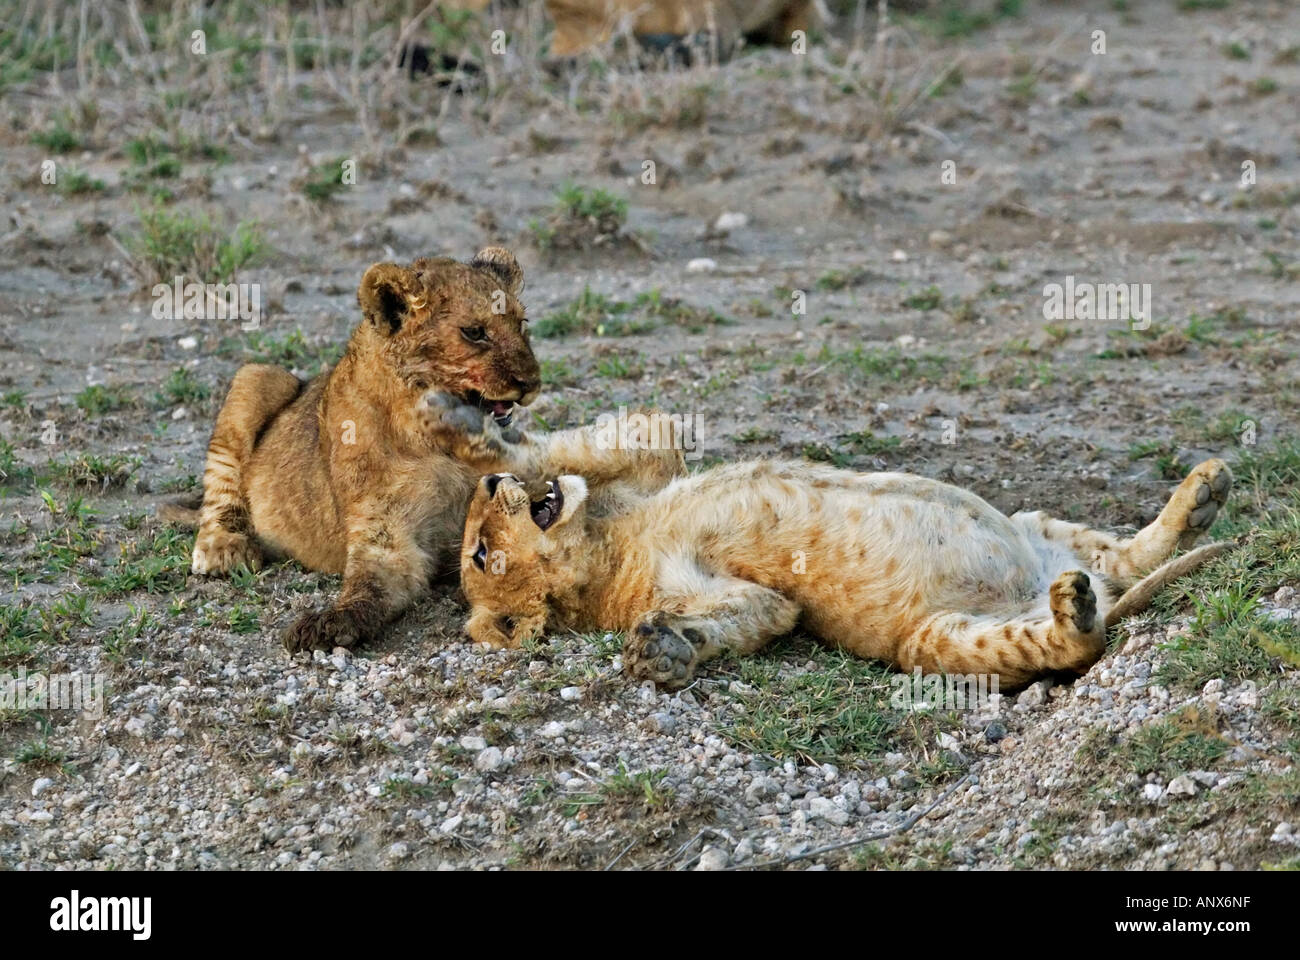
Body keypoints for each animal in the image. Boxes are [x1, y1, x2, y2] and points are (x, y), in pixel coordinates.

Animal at [165, 247, 683, 653]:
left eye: (522, 323)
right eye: (474, 332)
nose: (530, 382)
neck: (433, 442)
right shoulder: (384, 533)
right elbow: (369, 585)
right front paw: (327, 625)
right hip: (257, 376)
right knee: (221, 483)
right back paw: (222, 549)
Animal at [459, 457, 1234, 689]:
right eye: (480, 554)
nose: (493, 476)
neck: (611, 538)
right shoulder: (739, 593)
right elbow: (742, 615)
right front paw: (663, 652)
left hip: (1035, 524)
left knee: (1125, 557)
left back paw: (1202, 494)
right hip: (942, 640)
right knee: (1073, 642)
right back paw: (1074, 611)